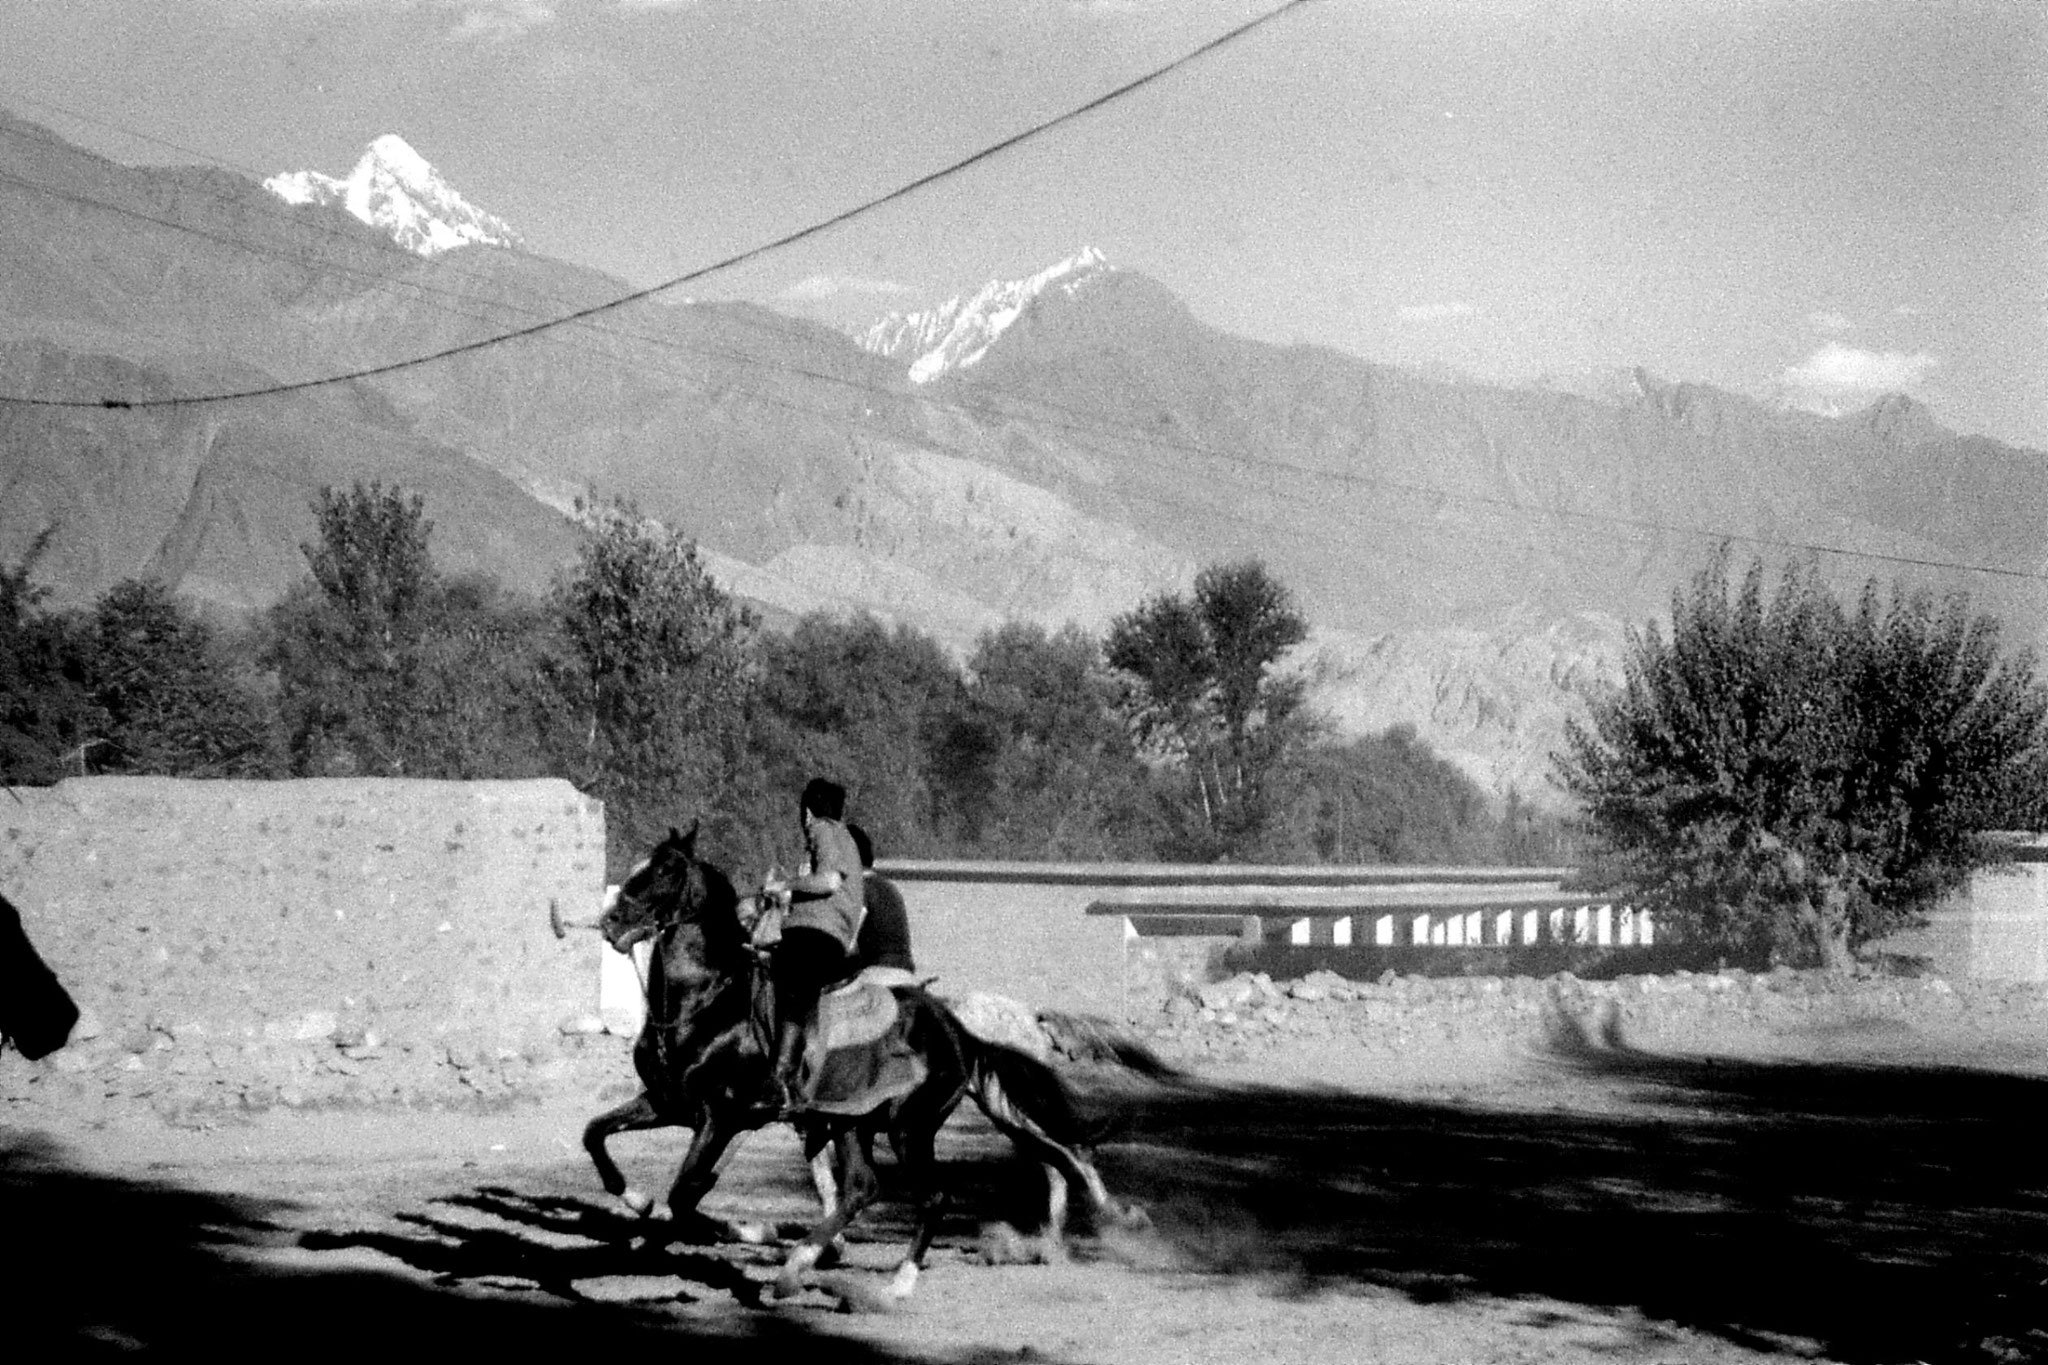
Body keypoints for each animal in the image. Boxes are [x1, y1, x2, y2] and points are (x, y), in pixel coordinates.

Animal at [573, 826, 1138, 1301]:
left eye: (666, 869)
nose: (612, 922)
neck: (707, 1002)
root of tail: (956, 1030)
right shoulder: (667, 1103)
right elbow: (597, 1136)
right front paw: (639, 1205)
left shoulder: (723, 1117)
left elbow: (687, 1193)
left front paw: (743, 1229)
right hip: (855, 1122)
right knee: (865, 1186)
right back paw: (798, 1267)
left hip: (910, 1127)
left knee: (939, 1194)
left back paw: (897, 1283)